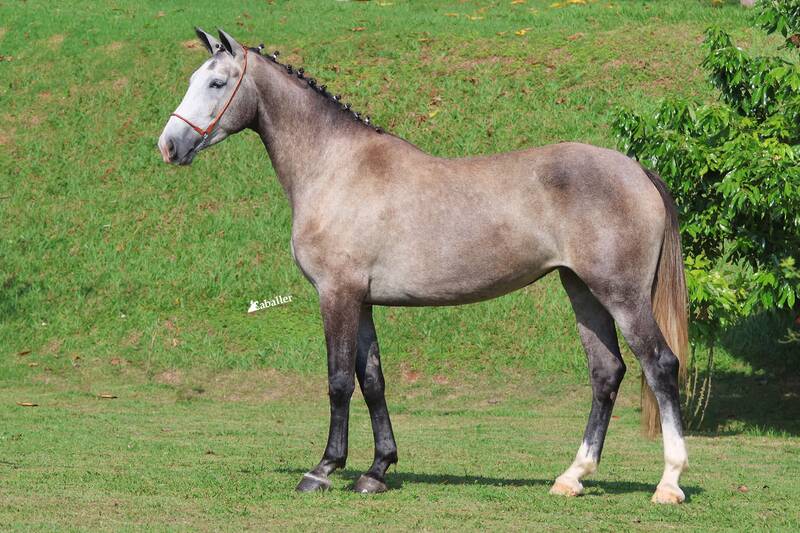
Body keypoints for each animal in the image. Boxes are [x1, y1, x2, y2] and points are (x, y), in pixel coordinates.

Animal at [159, 29, 692, 502]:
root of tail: (635, 168)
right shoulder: (363, 301)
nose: (169, 146)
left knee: (660, 364)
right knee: (606, 372)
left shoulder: (337, 294)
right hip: (582, 291)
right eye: (193, 78)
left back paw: (669, 483)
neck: (336, 166)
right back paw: (572, 477)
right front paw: (377, 470)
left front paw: (324, 469)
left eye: (217, 83)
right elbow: (372, 381)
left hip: (621, 294)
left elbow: (338, 381)